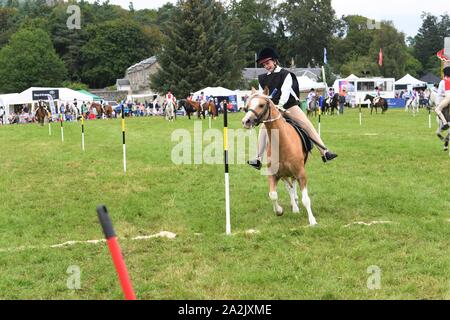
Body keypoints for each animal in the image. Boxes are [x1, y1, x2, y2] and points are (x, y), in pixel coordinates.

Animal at [241, 87, 318, 226]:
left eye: (261, 105)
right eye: (247, 106)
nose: (246, 121)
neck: (282, 143)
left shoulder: (301, 173)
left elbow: (306, 199)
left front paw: (312, 220)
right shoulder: (274, 174)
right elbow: (273, 194)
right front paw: (279, 210)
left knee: (293, 186)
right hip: (284, 175)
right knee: (289, 187)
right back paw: (294, 206)